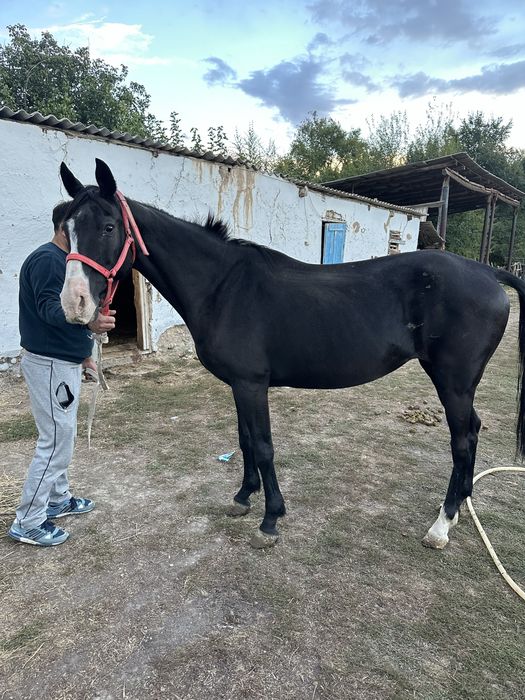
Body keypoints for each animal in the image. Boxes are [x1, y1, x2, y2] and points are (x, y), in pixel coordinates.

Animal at [58, 158, 525, 550]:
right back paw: (459, 509)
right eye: (67, 226)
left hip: (453, 380)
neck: (222, 286)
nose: (74, 303)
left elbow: (263, 446)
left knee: (462, 440)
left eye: (108, 227)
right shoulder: (239, 384)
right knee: (473, 432)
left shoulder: (252, 384)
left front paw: (270, 520)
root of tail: (488, 273)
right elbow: (245, 441)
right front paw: (243, 498)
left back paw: (442, 525)